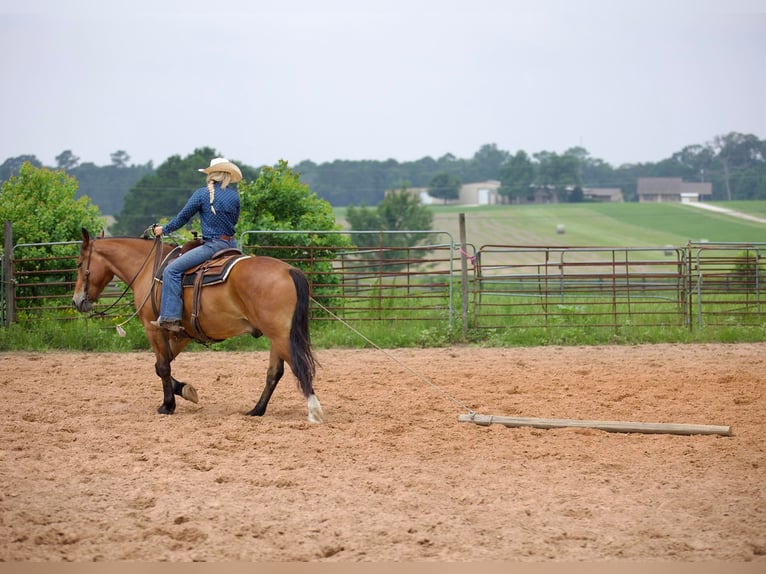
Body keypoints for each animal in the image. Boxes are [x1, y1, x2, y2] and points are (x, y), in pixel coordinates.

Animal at [71, 228, 324, 424]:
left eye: (80, 264)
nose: (76, 301)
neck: (150, 269)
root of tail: (289, 270)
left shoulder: (154, 328)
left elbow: (162, 366)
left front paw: (168, 405)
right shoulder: (181, 333)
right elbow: (161, 365)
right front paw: (186, 390)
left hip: (280, 335)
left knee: (298, 367)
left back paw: (314, 411)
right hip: (276, 336)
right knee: (274, 372)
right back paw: (256, 410)